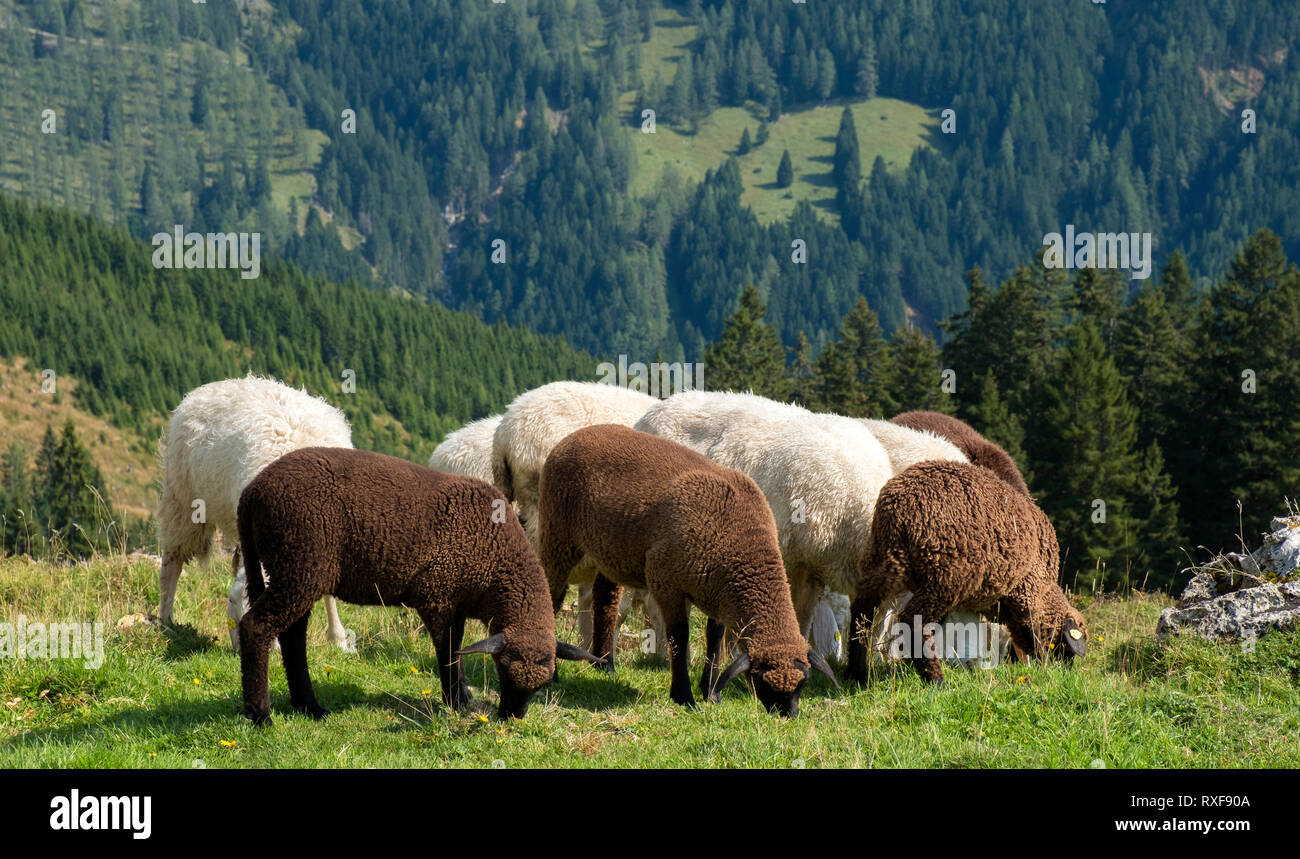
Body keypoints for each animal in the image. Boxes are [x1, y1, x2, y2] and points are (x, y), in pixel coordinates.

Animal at [156, 375, 352, 651]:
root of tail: (219, 384)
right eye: (232, 605)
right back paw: (166, 619)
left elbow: (329, 594)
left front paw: (338, 639)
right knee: (171, 564)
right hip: (182, 501)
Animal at [235, 446, 601, 725]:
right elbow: (449, 651)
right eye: (502, 670)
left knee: (291, 634)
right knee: (257, 627)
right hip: (300, 562)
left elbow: (457, 647)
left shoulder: (456, 602)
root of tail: (251, 492)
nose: (512, 718)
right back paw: (261, 715)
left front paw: (461, 697)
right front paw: (455, 700)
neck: (495, 563)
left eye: (542, 685)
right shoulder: (438, 595)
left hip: (297, 570)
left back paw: (309, 706)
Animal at [537, 425, 838, 715]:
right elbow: (679, 636)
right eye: (761, 681)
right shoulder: (665, 580)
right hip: (556, 530)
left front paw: (710, 691)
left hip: (609, 548)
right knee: (552, 595)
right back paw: (553, 673)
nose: (787, 715)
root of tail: (575, 435)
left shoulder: (718, 593)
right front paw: (683, 696)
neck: (741, 542)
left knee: (605, 600)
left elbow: (714, 637)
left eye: (804, 683)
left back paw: (605, 665)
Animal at [846, 460, 1087, 686]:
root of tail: (900, 507)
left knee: (861, 614)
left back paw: (858, 674)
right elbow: (1032, 632)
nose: (1068, 672)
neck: (1046, 588)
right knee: (913, 619)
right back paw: (936, 681)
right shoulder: (1025, 590)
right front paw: (1044, 664)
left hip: (881, 560)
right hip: (946, 574)